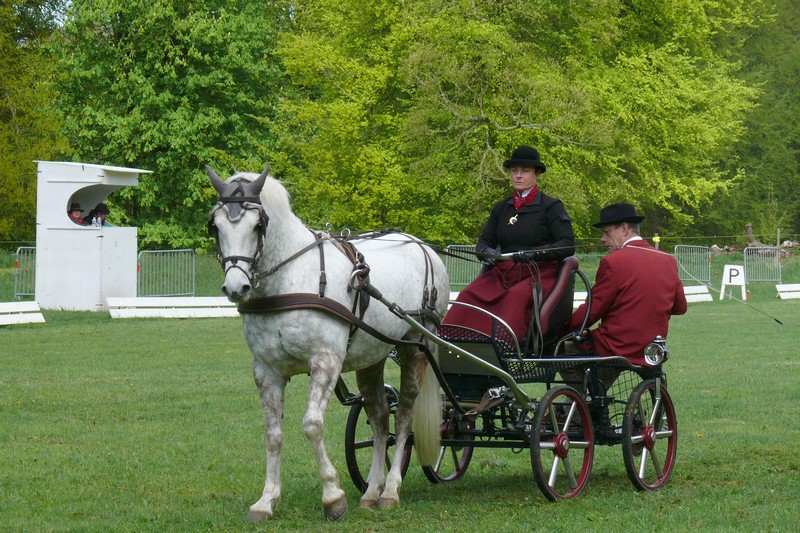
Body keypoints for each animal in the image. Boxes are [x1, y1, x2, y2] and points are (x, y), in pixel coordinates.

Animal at [206, 166, 446, 520]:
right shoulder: (266, 370)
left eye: (258, 225)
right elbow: (273, 434)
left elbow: (312, 425)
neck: (292, 279)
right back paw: (371, 491)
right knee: (379, 418)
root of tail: (424, 248)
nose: (237, 286)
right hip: (373, 355)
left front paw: (333, 496)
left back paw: (390, 490)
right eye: (215, 226)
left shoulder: (325, 362)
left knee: (403, 415)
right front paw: (266, 500)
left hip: (415, 346)